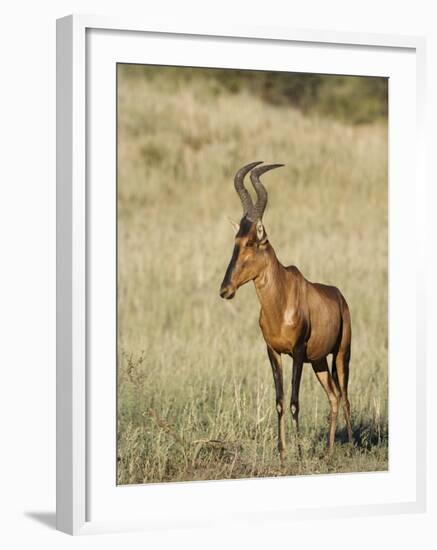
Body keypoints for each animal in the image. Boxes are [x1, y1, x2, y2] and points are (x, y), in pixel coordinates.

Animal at [220, 162, 352, 464]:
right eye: (236, 239)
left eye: (251, 242)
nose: (225, 289)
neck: (280, 301)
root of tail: (339, 296)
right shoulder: (273, 352)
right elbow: (280, 401)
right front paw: (282, 454)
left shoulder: (298, 352)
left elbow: (294, 401)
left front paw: (300, 454)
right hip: (319, 362)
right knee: (333, 396)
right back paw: (329, 452)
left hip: (341, 354)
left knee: (346, 395)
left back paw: (351, 447)